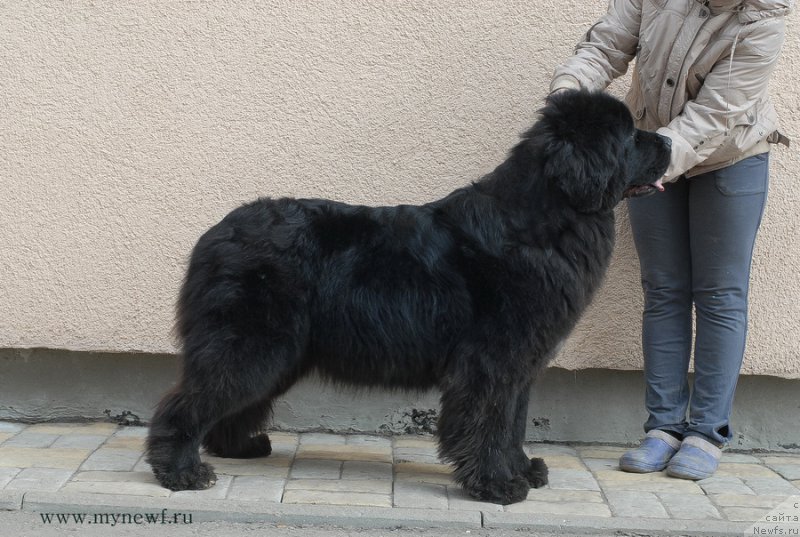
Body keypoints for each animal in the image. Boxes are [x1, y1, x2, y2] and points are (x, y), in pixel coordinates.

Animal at [147, 90, 672, 504]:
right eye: (629, 137)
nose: (668, 141)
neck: (538, 222)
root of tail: (214, 234)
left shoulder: (520, 364)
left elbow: (513, 423)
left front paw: (522, 469)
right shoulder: (491, 362)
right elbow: (489, 421)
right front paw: (497, 485)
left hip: (279, 353)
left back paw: (237, 447)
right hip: (252, 344)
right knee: (187, 402)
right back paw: (180, 471)